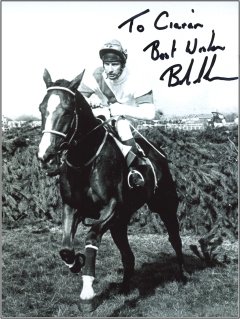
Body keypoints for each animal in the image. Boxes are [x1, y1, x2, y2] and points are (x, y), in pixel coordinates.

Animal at [38, 69, 188, 312]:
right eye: (41, 108)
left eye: (68, 111)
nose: (46, 157)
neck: (86, 161)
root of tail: (158, 154)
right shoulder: (71, 207)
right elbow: (66, 249)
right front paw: (76, 263)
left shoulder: (110, 208)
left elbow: (91, 236)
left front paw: (87, 292)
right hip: (120, 223)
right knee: (128, 256)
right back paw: (125, 287)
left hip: (165, 206)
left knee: (175, 239)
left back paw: (183, 275)